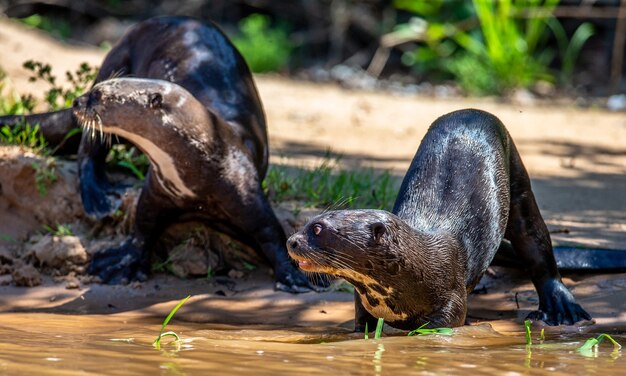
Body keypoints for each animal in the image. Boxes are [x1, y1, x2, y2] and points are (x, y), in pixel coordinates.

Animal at [288, 108, 588, 328]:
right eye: (308, 223)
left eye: (317, 229)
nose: (291, 241)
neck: (419, 268)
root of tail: (473, 111)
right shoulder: (363, 303)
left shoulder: (451, 302)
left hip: (517, 174)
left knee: (535, 240)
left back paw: (561, 308)